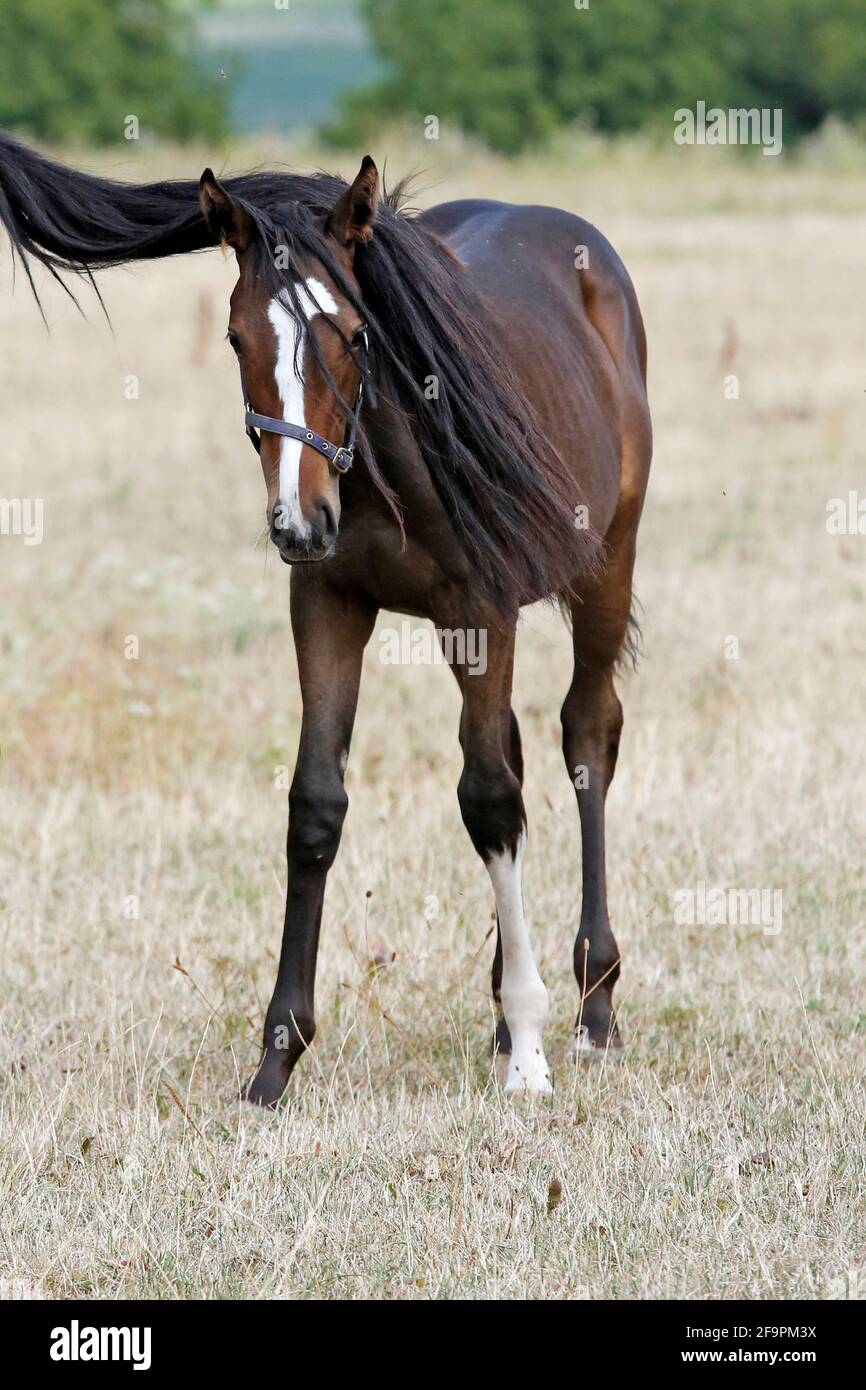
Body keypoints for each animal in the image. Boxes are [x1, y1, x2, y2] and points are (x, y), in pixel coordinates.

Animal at [0, 130, 650, 1106]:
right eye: (235, 336)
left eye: (355, 333)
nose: (298, 522)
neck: (389, 459)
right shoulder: (328, 603)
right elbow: (317, 802)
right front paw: (277, 1058)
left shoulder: (482, 606)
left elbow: (490, 799)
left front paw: (531, 1054)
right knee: (519, 747)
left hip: (607, 564)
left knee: (585, 738)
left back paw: (592, 1003)